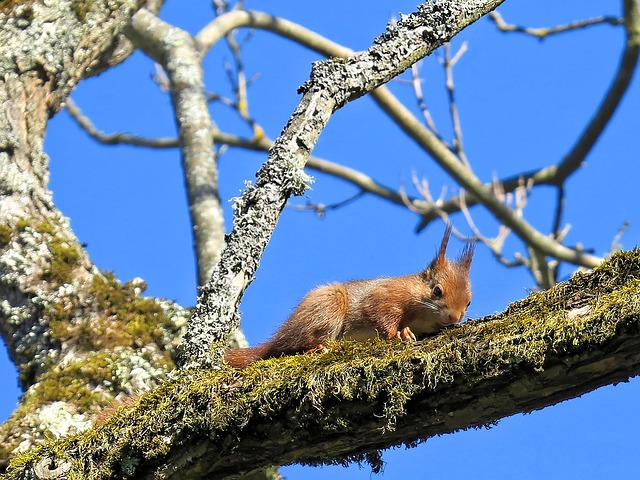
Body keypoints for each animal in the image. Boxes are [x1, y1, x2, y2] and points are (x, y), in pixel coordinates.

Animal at [225, 225, 474, 368]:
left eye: (469, 302)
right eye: (437, 291)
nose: (454, 317)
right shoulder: (386, 295)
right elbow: (380, 313)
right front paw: (399, 333)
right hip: (327, 307)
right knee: (297, 344)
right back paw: (319, 346)